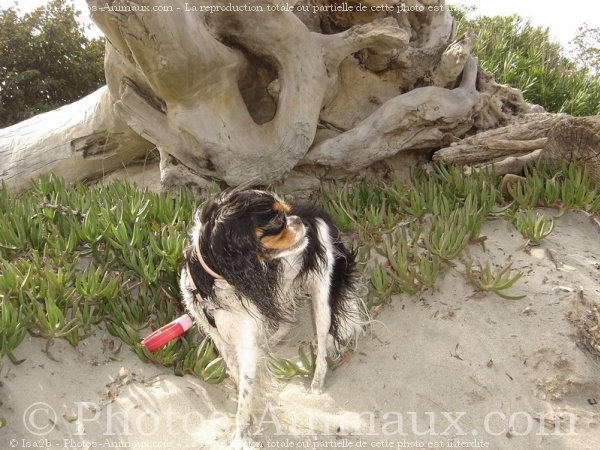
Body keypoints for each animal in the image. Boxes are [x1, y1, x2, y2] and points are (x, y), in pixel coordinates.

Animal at [180, 185, 364, 448]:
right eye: (277, 221)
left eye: (285, 214)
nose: (297, 220)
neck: (219, 281)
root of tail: (316, 212)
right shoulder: (218, 335)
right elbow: (238, 376)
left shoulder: (245, 341)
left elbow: (245, 393)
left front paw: (241, 435)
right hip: (282, 290)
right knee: (289, 318)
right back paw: (272, 341)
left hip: (322, 297)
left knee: (321, 345)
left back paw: (316, 384)